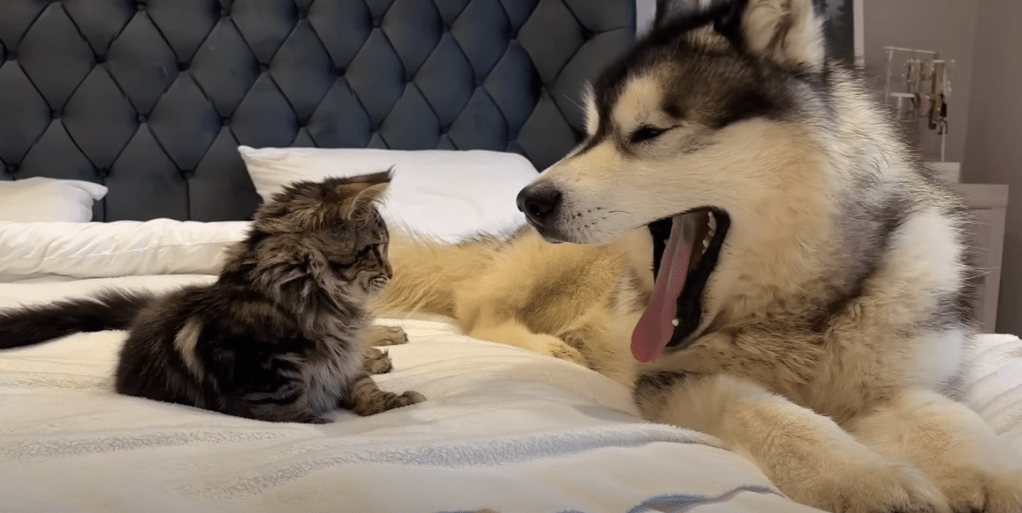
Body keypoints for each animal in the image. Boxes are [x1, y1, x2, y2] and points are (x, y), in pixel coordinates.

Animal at [0, 174, 423, 423]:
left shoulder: (342, 361)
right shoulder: (262, 381)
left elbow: (361, 384)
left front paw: (389, 399)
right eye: (375, 249)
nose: (392, 274)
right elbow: (302, 414)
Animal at [382, 0, 1021, 510]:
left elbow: (952, 424)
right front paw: (867, 479)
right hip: (561, 263)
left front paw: (994, 481)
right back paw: (550, 346)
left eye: (646, 133)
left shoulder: (905, 383)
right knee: (477, 308)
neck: (794, 316)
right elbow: (775, 416)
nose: (529, 199)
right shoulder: (674, 379)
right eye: (587, 135)